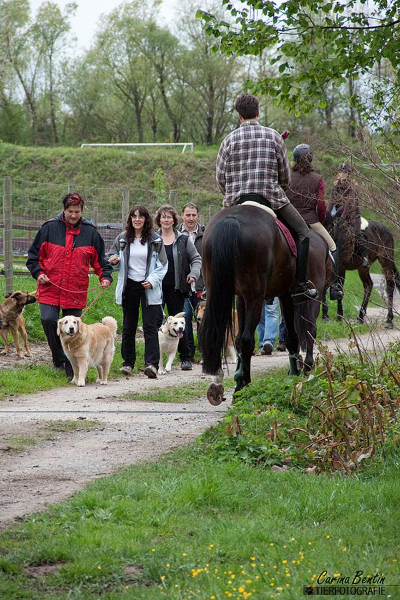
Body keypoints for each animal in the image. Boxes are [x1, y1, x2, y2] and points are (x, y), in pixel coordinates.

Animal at [200, 204, 332, 405]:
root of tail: (232, 220)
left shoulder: (241, 298)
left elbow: (237, 339)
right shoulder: (287, 295)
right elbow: (293, 335)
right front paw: (296, 370)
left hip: (220, 290)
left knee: (228, 336)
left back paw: (224, 383)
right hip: (258, 295)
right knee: (252, 339)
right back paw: (244, 386)